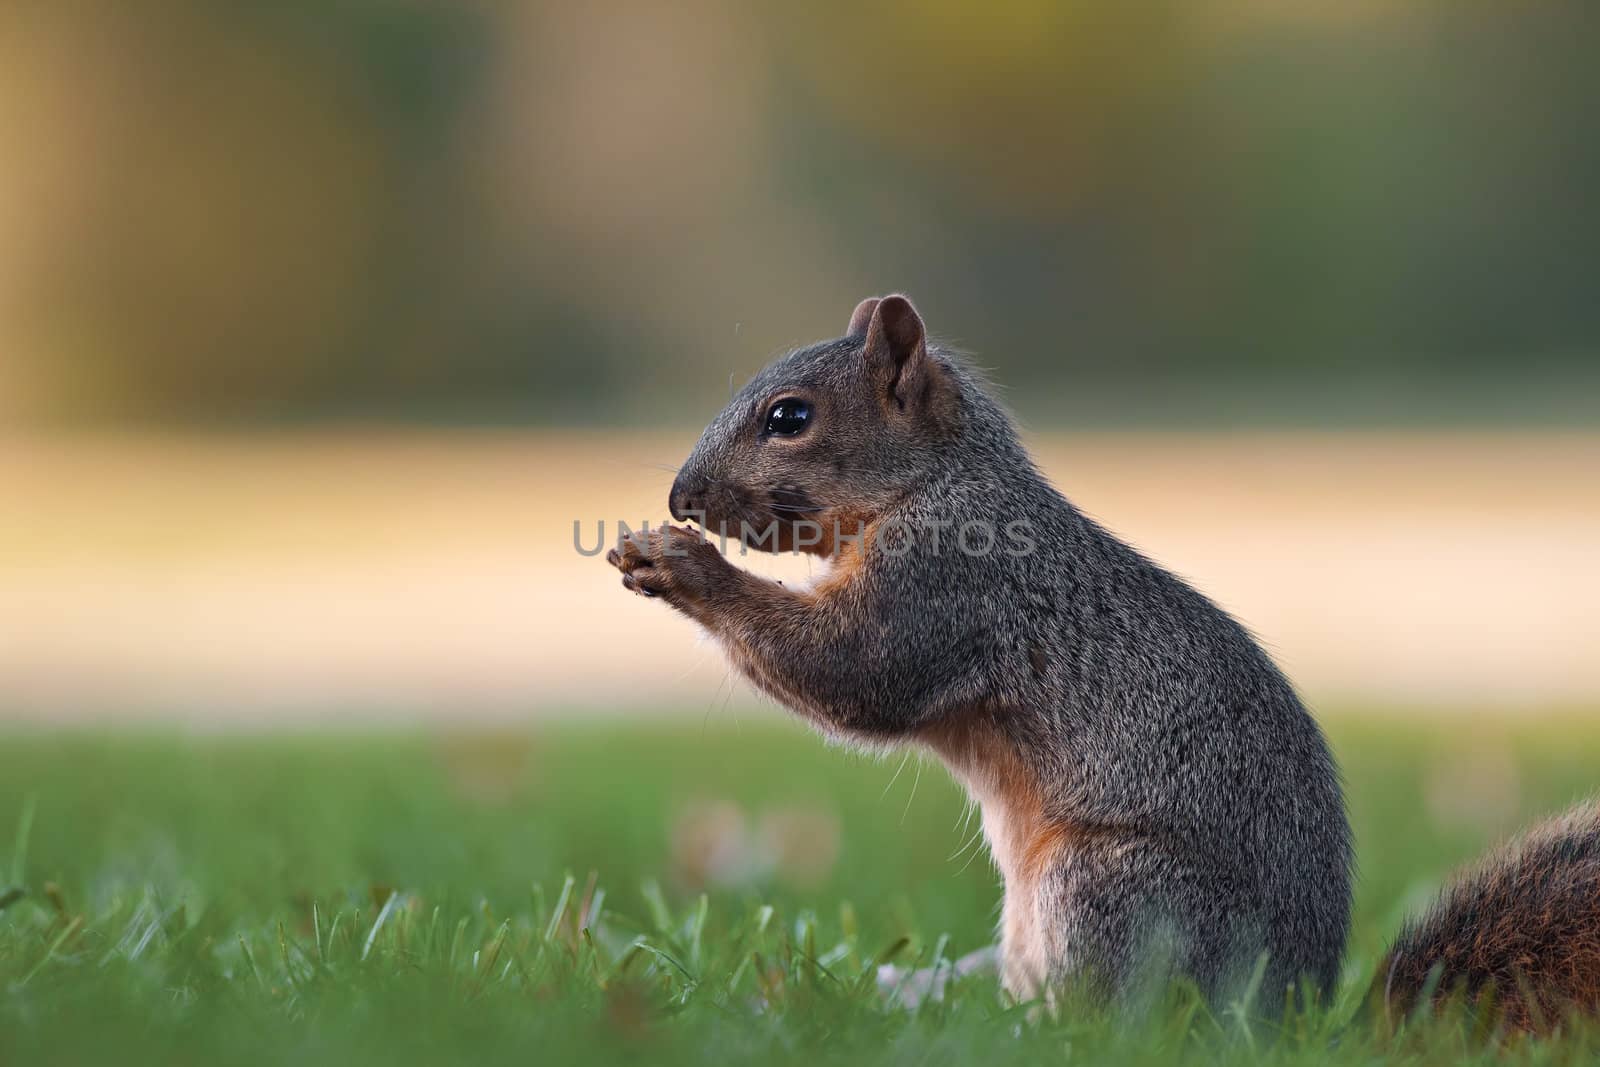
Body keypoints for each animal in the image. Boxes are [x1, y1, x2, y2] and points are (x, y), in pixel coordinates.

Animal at [601, 295, 1600, 1030]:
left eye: (790, 417)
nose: (681, 496)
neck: (937, 482)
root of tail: (1292, 1017)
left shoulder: (953, 582)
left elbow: (856, 671)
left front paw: (686, 566)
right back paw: (914, 994)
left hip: (1108, 891)